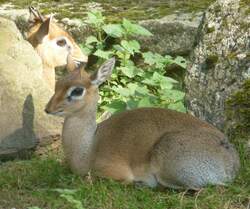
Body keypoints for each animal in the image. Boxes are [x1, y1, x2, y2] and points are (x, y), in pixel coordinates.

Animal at [45, 58, 240, 189]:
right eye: (58, 83)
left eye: (77, 90)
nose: (48, 109)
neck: (88, 149)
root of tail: (231, 159)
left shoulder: (114, 172)